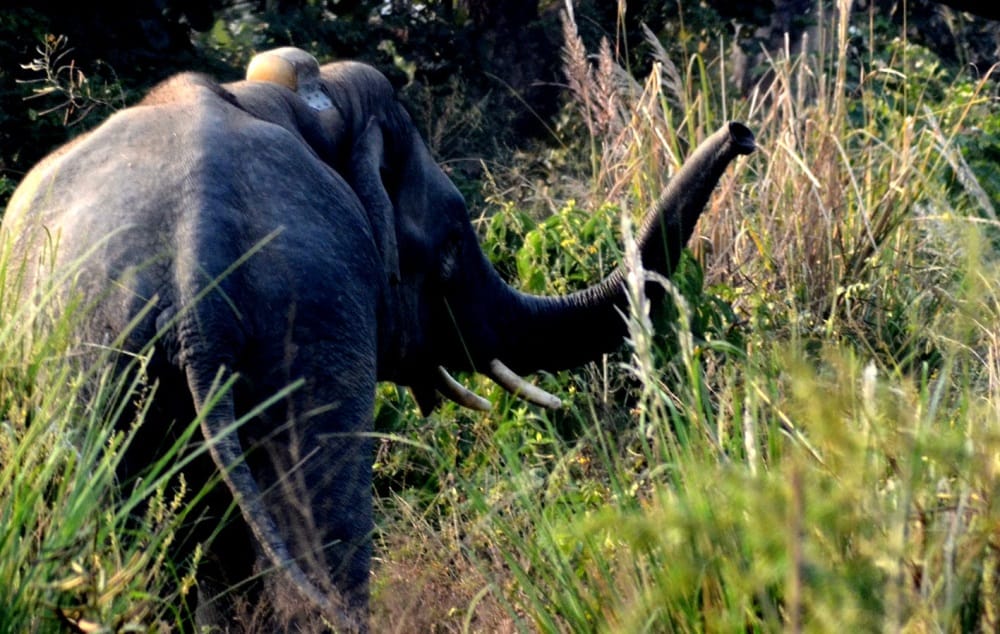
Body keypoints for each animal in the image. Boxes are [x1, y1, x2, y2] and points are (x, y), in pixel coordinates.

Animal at [0, 46, 754, 630]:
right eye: (450, 246)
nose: (743, 134)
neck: (306, 105)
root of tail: (196, 257)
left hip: (92, 347)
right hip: (307, 314)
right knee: (324, 527)